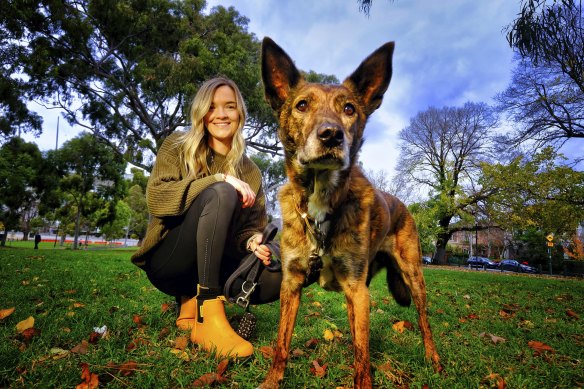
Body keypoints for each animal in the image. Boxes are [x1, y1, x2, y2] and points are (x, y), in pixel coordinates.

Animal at [258, 37, 440, 388]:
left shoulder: (359, 291)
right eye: (302, 105)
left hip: (412, 275)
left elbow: (363, 356)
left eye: (349, 109)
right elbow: (281, 345)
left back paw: (433, 358)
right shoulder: (293, 283)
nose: (331, 134)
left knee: (423, 320)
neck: (321, 202)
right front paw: (272, 381)